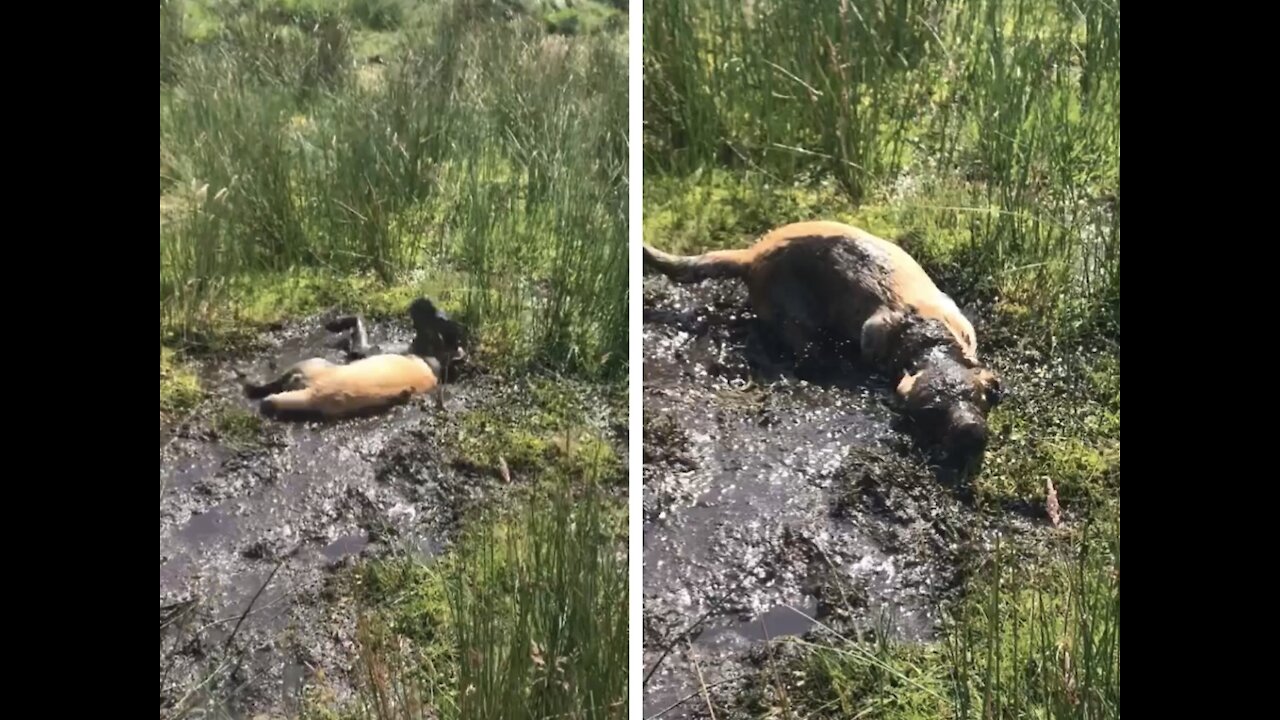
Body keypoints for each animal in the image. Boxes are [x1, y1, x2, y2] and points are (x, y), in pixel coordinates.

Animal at [241, 295, 468, 420]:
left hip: (310, 364)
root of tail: (314, 393)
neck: (433, 356)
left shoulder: (367, 349)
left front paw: (337, 323)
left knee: (269, 391)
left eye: (439, 318)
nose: (423, 299)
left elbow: (358, 322)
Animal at [645, 219, 1003, 461]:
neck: (925, 337)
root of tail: (750, 257)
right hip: (792, 314)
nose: (968, 433)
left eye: (975, 398)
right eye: (930, 413)